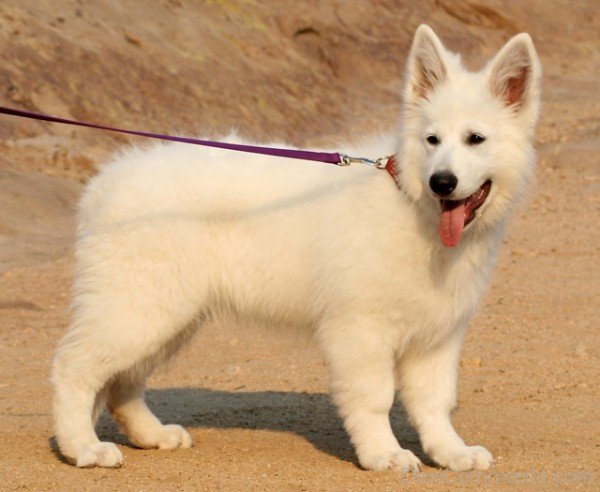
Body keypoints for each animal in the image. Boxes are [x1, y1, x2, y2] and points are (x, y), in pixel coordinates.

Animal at [51, 26, 540, 472]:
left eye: (476, 139)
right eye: (432, 140)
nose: (442, 182)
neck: (412, 203)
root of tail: (105, 183)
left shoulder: (437, 335)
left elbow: (435, 402)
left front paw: (451, 453)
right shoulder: (358, 329)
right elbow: (375, 398)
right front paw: (384, 454)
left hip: (168, 314)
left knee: (123, 383)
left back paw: (150, 435)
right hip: (141, 307)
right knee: (73, 367)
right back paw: (82, 447)